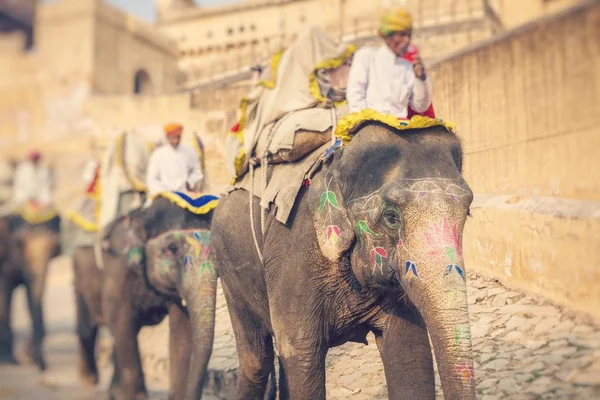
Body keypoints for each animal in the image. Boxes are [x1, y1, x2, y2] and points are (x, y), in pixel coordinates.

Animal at [0, 212, 61, 372]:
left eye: (54, 246)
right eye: (20, 243)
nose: (43, 368)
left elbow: (33, 294)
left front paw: (29, 357)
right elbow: (4, 295)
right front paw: (8, 361)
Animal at [213, 119, 476, 400]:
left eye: (468, 213)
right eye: (391, 217)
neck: (337, 162)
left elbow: (409, 351)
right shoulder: (293, 251)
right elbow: (299, 351)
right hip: (229, 268)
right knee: (256, 361)